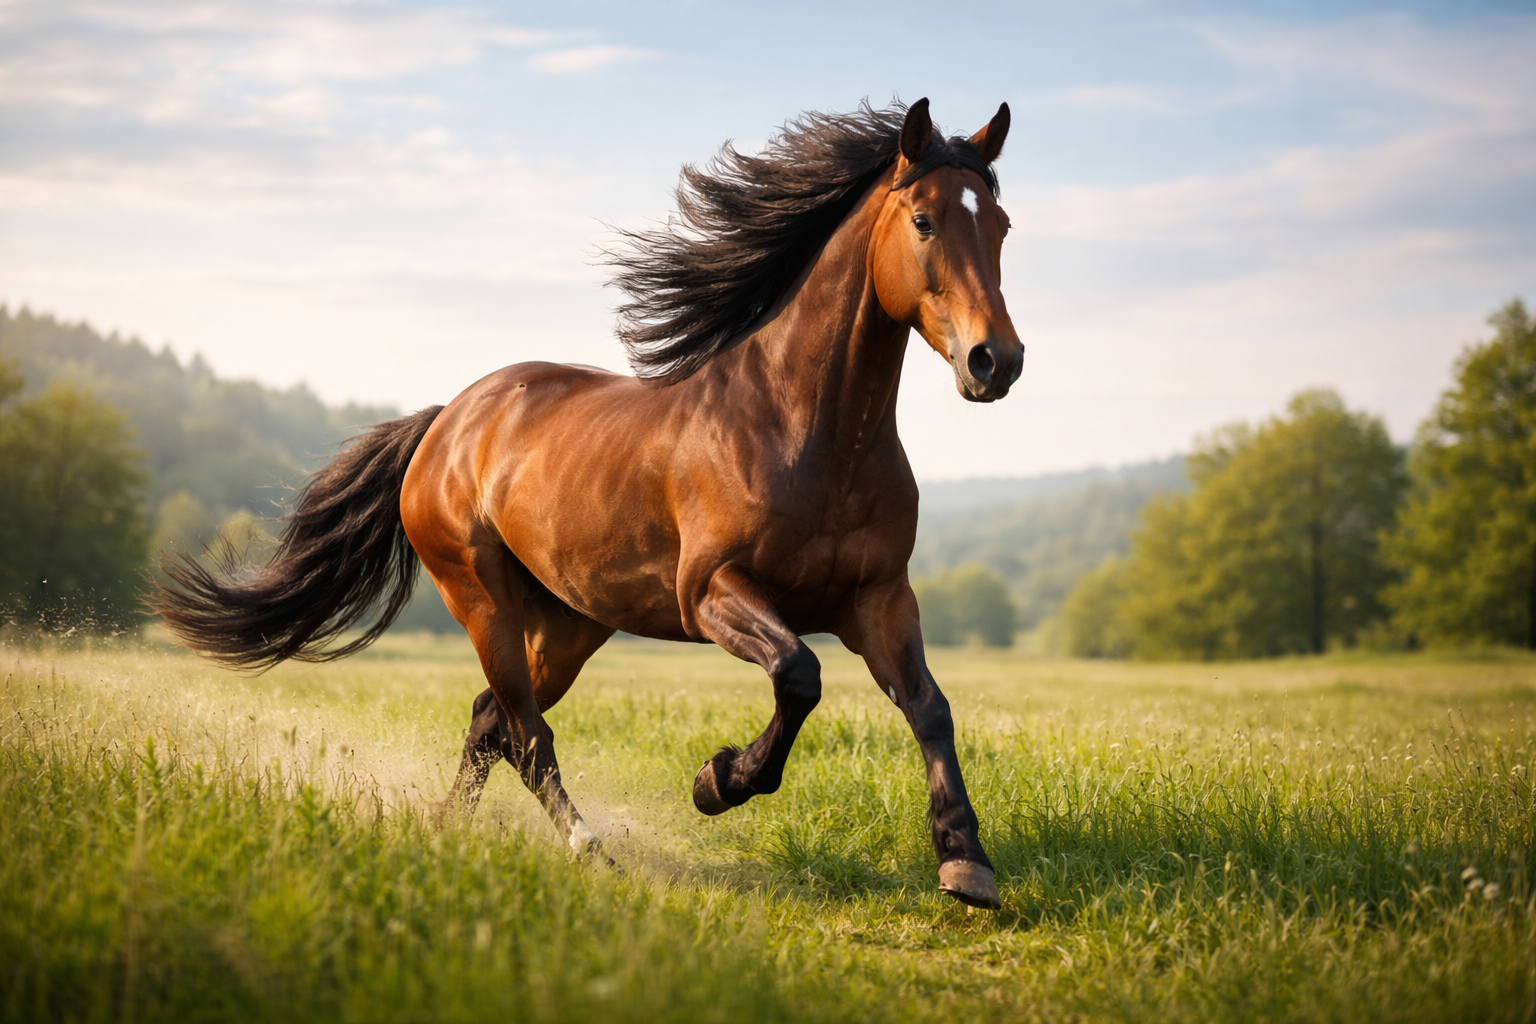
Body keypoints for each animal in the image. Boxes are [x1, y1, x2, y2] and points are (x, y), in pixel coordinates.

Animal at [156, 98, 1024, 909]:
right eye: (923, 220)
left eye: (1003, 225)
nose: (997, 361)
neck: (807, 432)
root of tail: (446, 420)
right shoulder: (712, 593)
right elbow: (799, 673)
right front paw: (718, 781)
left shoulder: (879, 598)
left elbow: (929, 707)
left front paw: (966, 863)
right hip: (483, 601)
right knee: (524, 732)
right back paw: (589, 851)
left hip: (570, 622)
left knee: (491, 722)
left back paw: (448, 831)